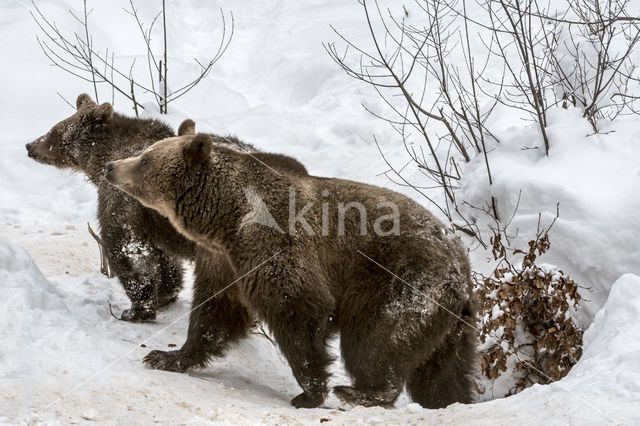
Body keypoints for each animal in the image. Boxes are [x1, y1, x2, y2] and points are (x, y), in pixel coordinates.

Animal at [25, 92, 304, 320]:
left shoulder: (124, 200)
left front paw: (136, 309)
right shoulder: (155, 219)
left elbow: (127, 247)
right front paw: (166, 292)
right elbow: (163, 255)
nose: (30, 145)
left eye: (54, 132)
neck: (104, 157)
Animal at [106, 131, 476, 408]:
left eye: (144, 159)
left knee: (378, 338)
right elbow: (215, 313)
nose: (111, 166)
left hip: (401, 281)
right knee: (442, 374)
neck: (226, 219)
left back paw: (361, 391)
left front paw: (310, 391)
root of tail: (460, 262)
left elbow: (296, 307)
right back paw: (446, 401)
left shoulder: (273, 242)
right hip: (451, 325)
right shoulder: (223, 262)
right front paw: (166, 357)